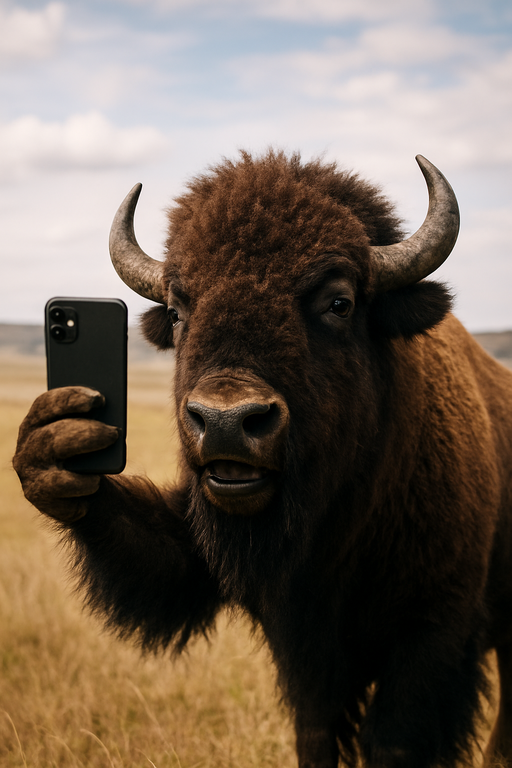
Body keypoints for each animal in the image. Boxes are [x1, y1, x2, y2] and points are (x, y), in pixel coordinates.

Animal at [14, 149, 512, 767]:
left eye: (339, 303)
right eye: (176, 311)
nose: (227, 421)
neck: (337, 525)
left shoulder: (432, 636)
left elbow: (393, 741)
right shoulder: (299, 646)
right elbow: (315, 734)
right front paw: (52, 452)